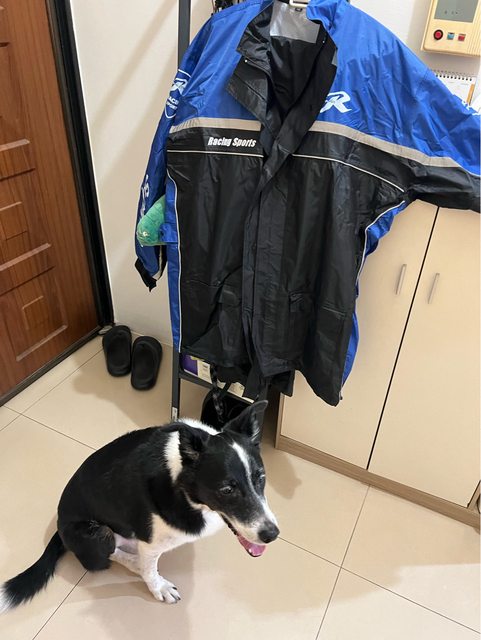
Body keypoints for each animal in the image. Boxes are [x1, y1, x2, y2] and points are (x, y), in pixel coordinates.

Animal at [0, 400, 279, 610]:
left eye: (261, 478)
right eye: (227, 490)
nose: (272, 535)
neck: (181, 480)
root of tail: (58, 528)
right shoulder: (150, 541)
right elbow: (150, 567)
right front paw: (159, 587)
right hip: (97, 533)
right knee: (111, 555)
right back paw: (135, 563)